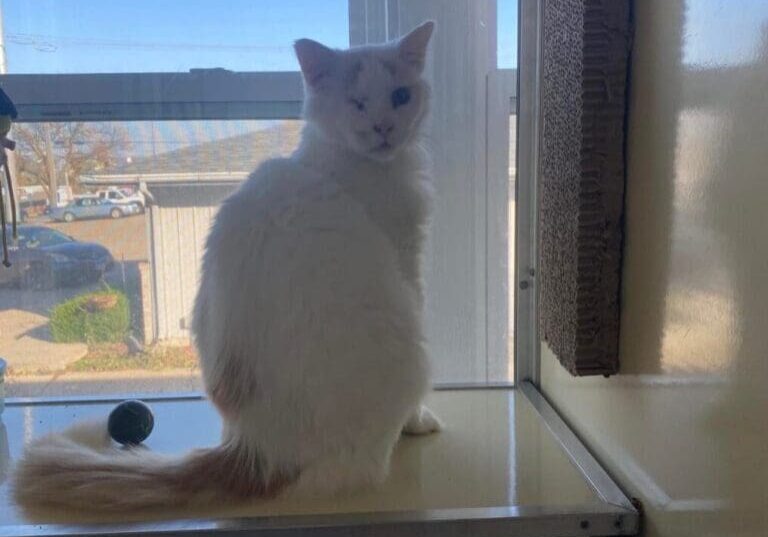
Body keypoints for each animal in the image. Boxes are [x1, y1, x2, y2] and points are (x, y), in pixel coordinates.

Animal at [15, 22, 440, 516]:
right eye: (356, 102)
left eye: (400, 96)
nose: (384, 127)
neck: (349, 164)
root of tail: (255, 450)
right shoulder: (408, 263)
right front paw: (420, 421)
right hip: (408, 342)